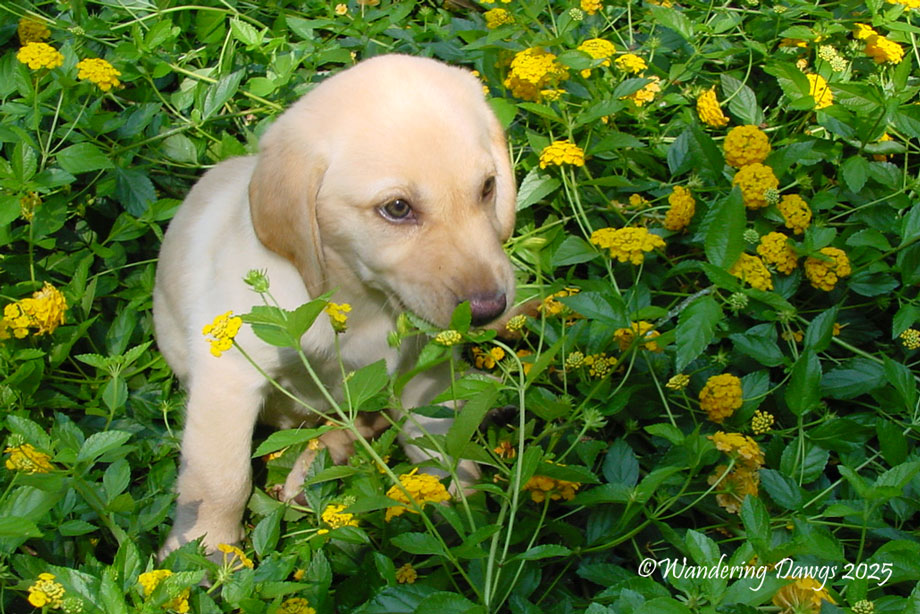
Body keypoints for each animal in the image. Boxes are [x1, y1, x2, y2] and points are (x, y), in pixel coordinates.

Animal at [153, 54, 518, 555]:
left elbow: (440, 440)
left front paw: (459, 513)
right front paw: (205, 550)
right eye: (397, 208)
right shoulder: (229, 374)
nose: (489, 309)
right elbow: (220, 478)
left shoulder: (420, 370)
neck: (361, 301)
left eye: (486, 188)